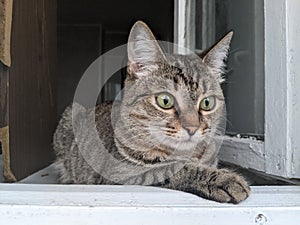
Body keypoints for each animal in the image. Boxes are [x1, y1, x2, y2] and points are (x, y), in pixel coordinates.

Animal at [52, 21, 250, 204]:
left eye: (207, 103)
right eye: (165, 101)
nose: (192, 128)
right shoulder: (121, 175)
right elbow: (170, 168)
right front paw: (224, 179)